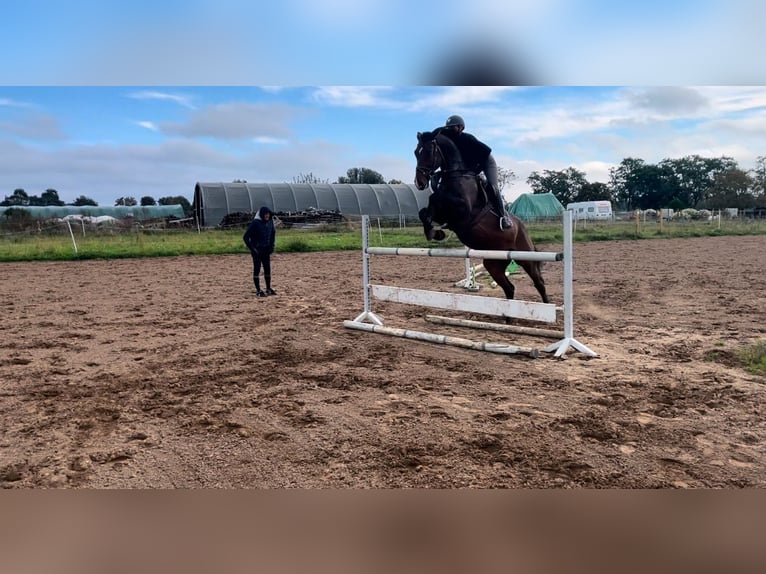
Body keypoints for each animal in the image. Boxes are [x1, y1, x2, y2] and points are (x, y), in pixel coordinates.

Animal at [416, 127, 548, 304]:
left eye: (429, 152)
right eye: (416, 152)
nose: (419, 183)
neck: (456, 175)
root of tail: (522, 227)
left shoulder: (463, 211)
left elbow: (435, 198)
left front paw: (434, 231)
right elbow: (426, 210)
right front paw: (433, 232)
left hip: (525, 258)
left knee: (538, 282)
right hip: (493, 263)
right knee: (509, 288)